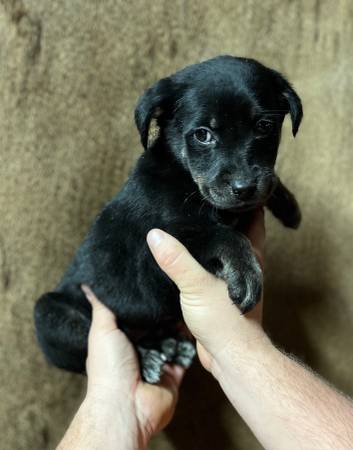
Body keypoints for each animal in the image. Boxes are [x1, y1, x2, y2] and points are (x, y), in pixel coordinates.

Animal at [34, 55, 302, 384]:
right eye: (203, 135)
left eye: (264, 126)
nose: (244, 188)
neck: (183, 176)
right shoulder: (159, 246)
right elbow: (223, 235)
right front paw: (246, 274)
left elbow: (268, 183)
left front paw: (289, 206)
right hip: (50, 315)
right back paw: (148, 359)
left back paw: (170, 346)